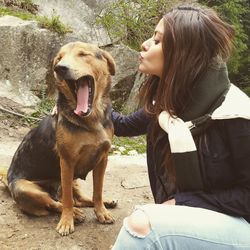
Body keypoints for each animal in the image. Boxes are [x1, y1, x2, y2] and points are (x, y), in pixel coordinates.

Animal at [7, 42, 117, 235]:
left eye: (83, 54)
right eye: (59, 58)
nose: (60, 68)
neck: (91, 120)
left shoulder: (102, 160)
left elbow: (97, 191)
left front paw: (101, 211)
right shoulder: (67, 162)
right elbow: (66, 199)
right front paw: (66, 221)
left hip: (74, 181)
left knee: (78, 198)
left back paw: (104, 203)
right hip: (26, 188)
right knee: (54, 202)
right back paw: (75, 214)